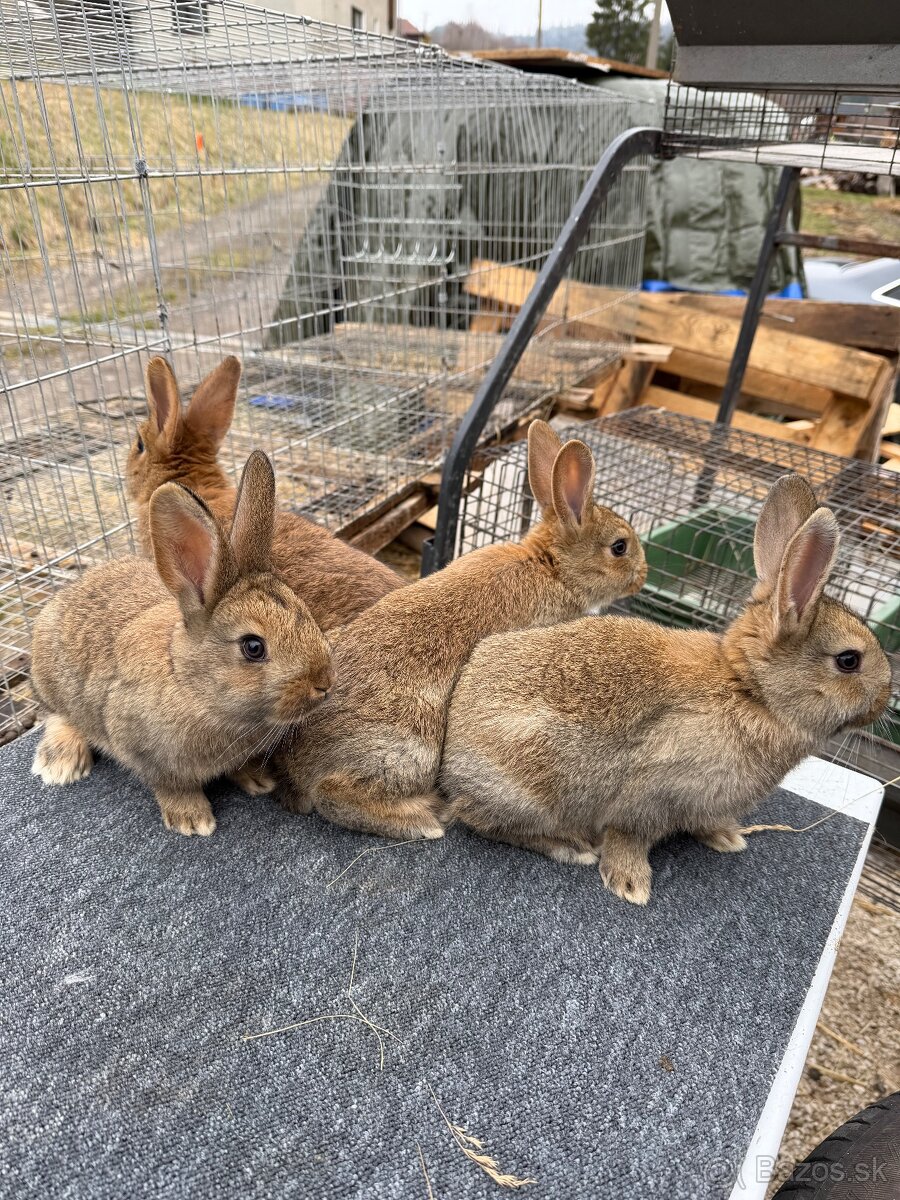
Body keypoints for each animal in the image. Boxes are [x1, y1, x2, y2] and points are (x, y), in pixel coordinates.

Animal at [30, 451, 334, 837]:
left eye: (306, 612)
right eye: (253, 647)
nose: (324, 683)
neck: (192, 685)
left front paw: (258, 780)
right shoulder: (144, 750)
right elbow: (171, 785)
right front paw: (192, 820)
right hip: (51, 681)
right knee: (58, 715)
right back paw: (60, 764)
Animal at [276, 419, 648, 841]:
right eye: (620, 547)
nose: (643, 576)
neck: (553, 567)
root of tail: (301, 768)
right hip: (412, 745)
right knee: (335, 794)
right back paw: (424, 822)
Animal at [440, 474, 893, 906]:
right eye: (849, 661)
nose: (886, 698)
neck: (751, 692)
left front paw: (727, 838)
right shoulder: (650, 796)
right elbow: (629, 838)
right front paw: (630, 884)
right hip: (529, 791)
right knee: (482, 820)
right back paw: (570, 848)